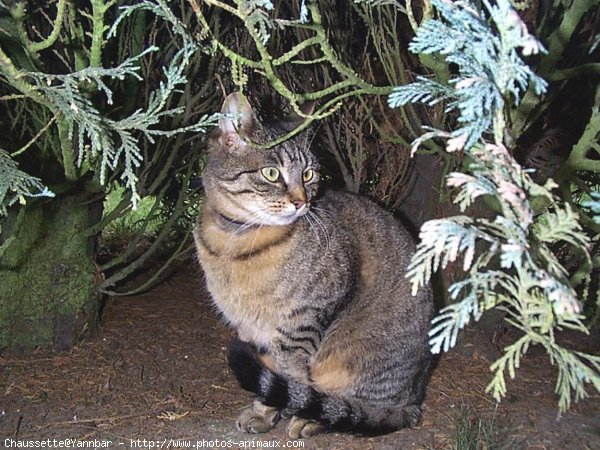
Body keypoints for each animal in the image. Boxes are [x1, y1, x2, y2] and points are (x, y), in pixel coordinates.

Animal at [195, 92, 434, 440]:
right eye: (271, 173)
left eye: (308, 175)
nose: (301, 202)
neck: (234, 241)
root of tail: (413, 403)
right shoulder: (251, 328)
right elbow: (268, 371)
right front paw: (263, 414)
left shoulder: (301, 322)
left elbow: (290, 378)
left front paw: (285, 411)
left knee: (359, 408)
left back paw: (316, 417)